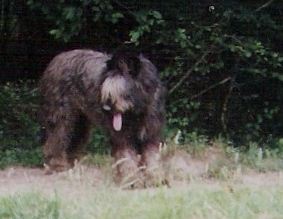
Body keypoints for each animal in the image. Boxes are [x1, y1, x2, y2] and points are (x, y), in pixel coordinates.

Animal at [38, 49, 165, 186]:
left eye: (120, 89)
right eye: (106, 89)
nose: (106, 108)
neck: (137, 110)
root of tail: (55, 60)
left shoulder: (151, 133)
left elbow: (151, 157)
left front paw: (155, 178)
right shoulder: (122, 136)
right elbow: (126, 158)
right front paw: (131, 179)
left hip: (80, 123)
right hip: (61, 117)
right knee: (55, 140)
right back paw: (57, 166)